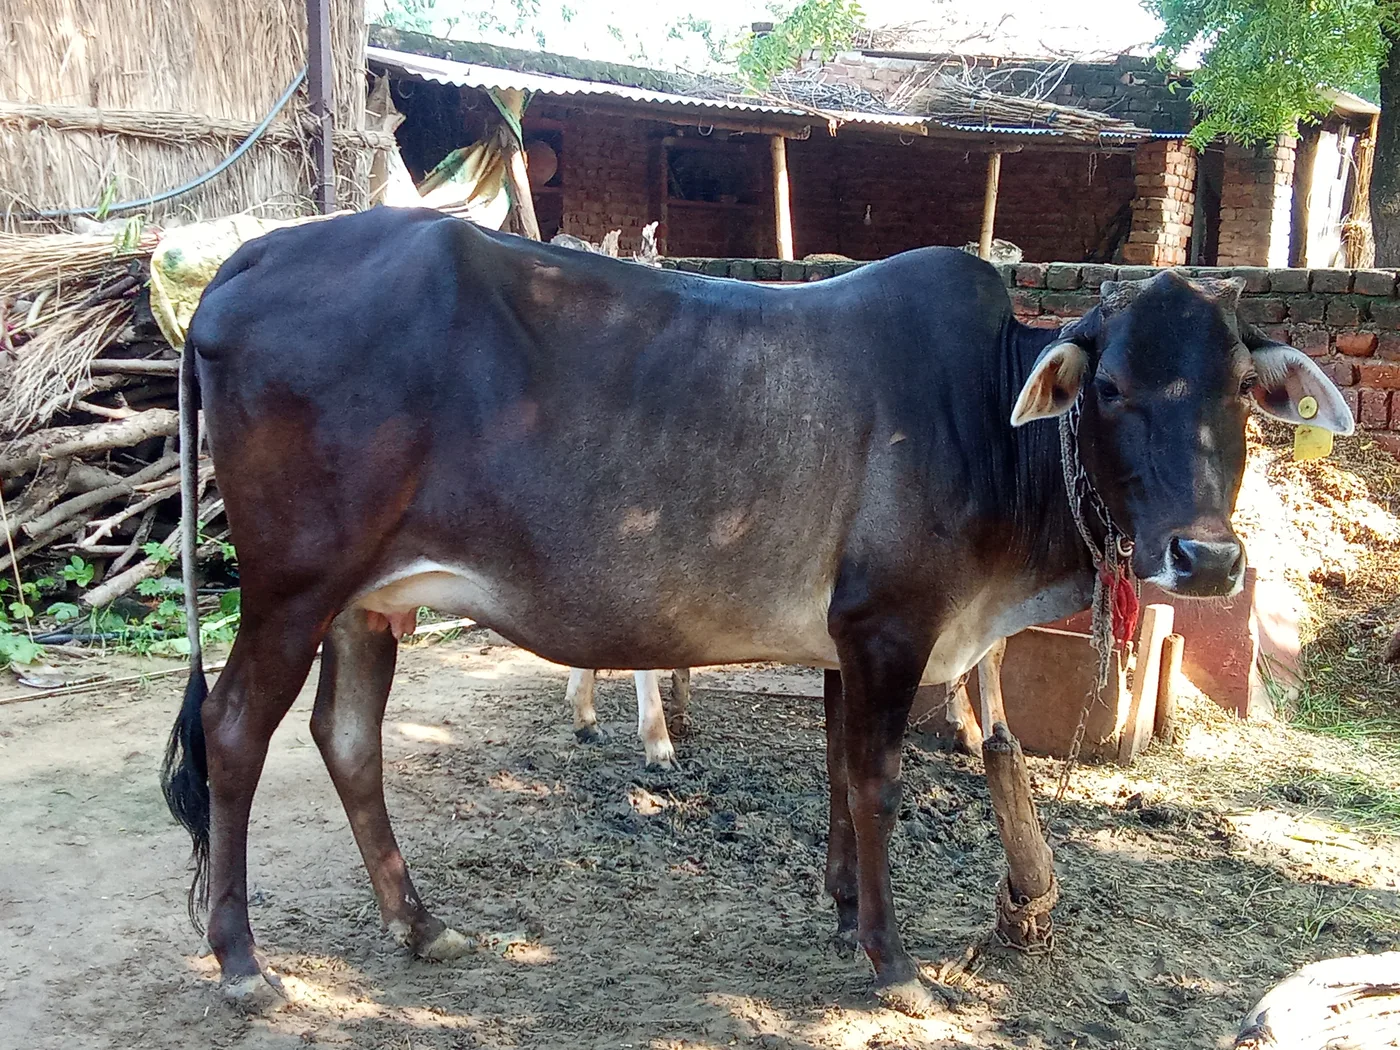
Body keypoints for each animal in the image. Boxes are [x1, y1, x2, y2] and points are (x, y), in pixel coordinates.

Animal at [161, 207, 1352, 1015]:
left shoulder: (843, 642)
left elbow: (835, 774)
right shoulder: (888, 628)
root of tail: (243, 264)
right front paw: (891, 959)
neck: (986, 418)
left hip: (369, 600)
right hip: (292, 585)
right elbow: (875, 783)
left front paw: (839, 910)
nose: (1205, 558)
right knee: (234, 733)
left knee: (347, 736)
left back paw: (419, 927)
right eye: (1109, 390)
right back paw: (242, 964)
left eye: (1239, 392)